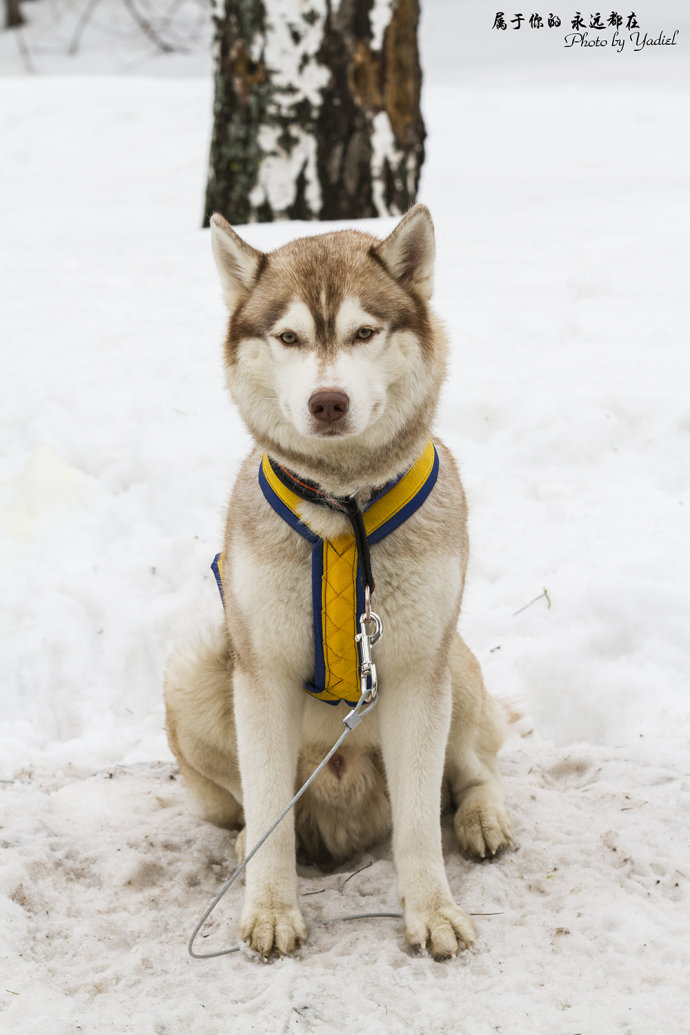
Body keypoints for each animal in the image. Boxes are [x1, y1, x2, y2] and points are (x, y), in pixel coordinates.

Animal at [164, 203, 513, 960]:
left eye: (363, 332)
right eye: (289, 337)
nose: (328, 401)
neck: (344, 505)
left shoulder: (417, 671)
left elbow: (421, 821)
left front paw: (433, 909)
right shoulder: (260, 673)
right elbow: (268, 800)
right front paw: (270, 907)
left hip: (455, 662)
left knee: (472, 771)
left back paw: (483, 818)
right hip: (197, 667)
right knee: (257, 810)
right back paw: (249, 838)